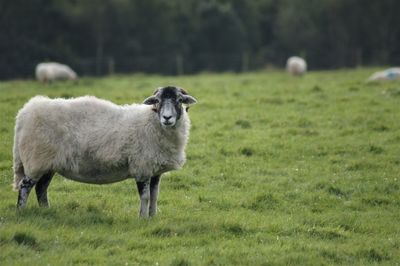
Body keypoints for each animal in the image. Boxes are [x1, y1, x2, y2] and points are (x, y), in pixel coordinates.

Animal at [13, 86, 198, 217]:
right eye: (157, 100)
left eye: (179, 100)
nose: (167, 118)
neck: (152, 122)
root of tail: (25, 113)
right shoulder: (142, 167)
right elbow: (145, 197)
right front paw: (143, 218)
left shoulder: (155, 170)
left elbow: (154, 195)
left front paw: (153, 217)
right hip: (36, 160)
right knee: (25, 186)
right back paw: (21, 211)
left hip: (48, 163)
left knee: (41, 188)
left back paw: (46, 210)